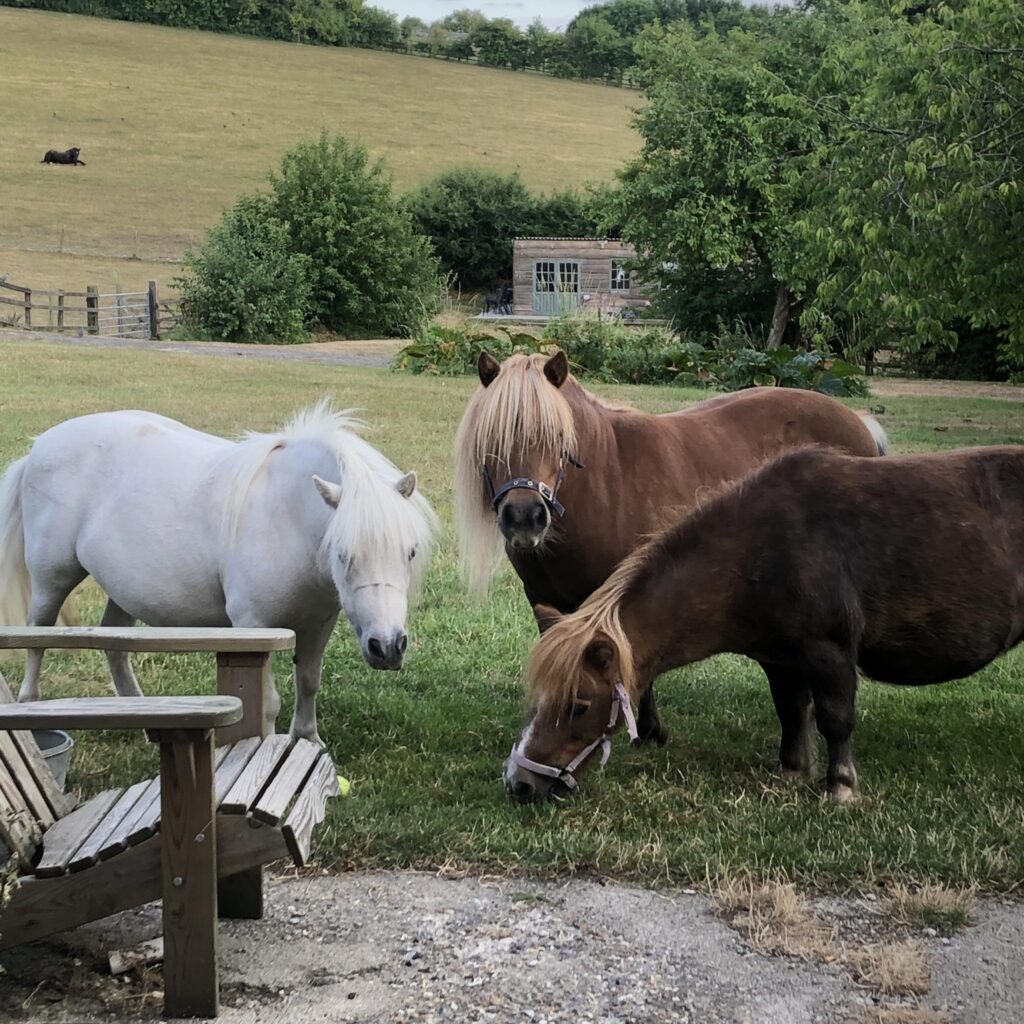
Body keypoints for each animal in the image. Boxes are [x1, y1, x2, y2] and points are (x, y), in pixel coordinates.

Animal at [0, 401, 436, 745]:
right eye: (343, 554)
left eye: (410, 552)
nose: (388, 647)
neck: (286, 515)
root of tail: (39, 447)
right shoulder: (253, 627)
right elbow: (267, 701)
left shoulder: (319, 622)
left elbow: (309, 681)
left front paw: (307, 742)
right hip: (51, 578)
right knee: (37, 636)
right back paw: (30, 709)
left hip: (123, 590)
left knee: (115, 644)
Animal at [452, 350, 884, 745]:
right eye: (490, 440)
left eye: (558, 439)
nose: (525, 517)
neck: (602, 483)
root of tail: (857, 421)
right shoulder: (543, 600)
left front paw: (648, 729)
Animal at [505, 444, 1024, 802]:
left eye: (578, 705)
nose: (519, 783)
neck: (761, 550)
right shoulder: (781, 659)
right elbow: (791, 711)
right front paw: (793, 768)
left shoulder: (829, 650)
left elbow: (835, 718)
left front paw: (840, 785)